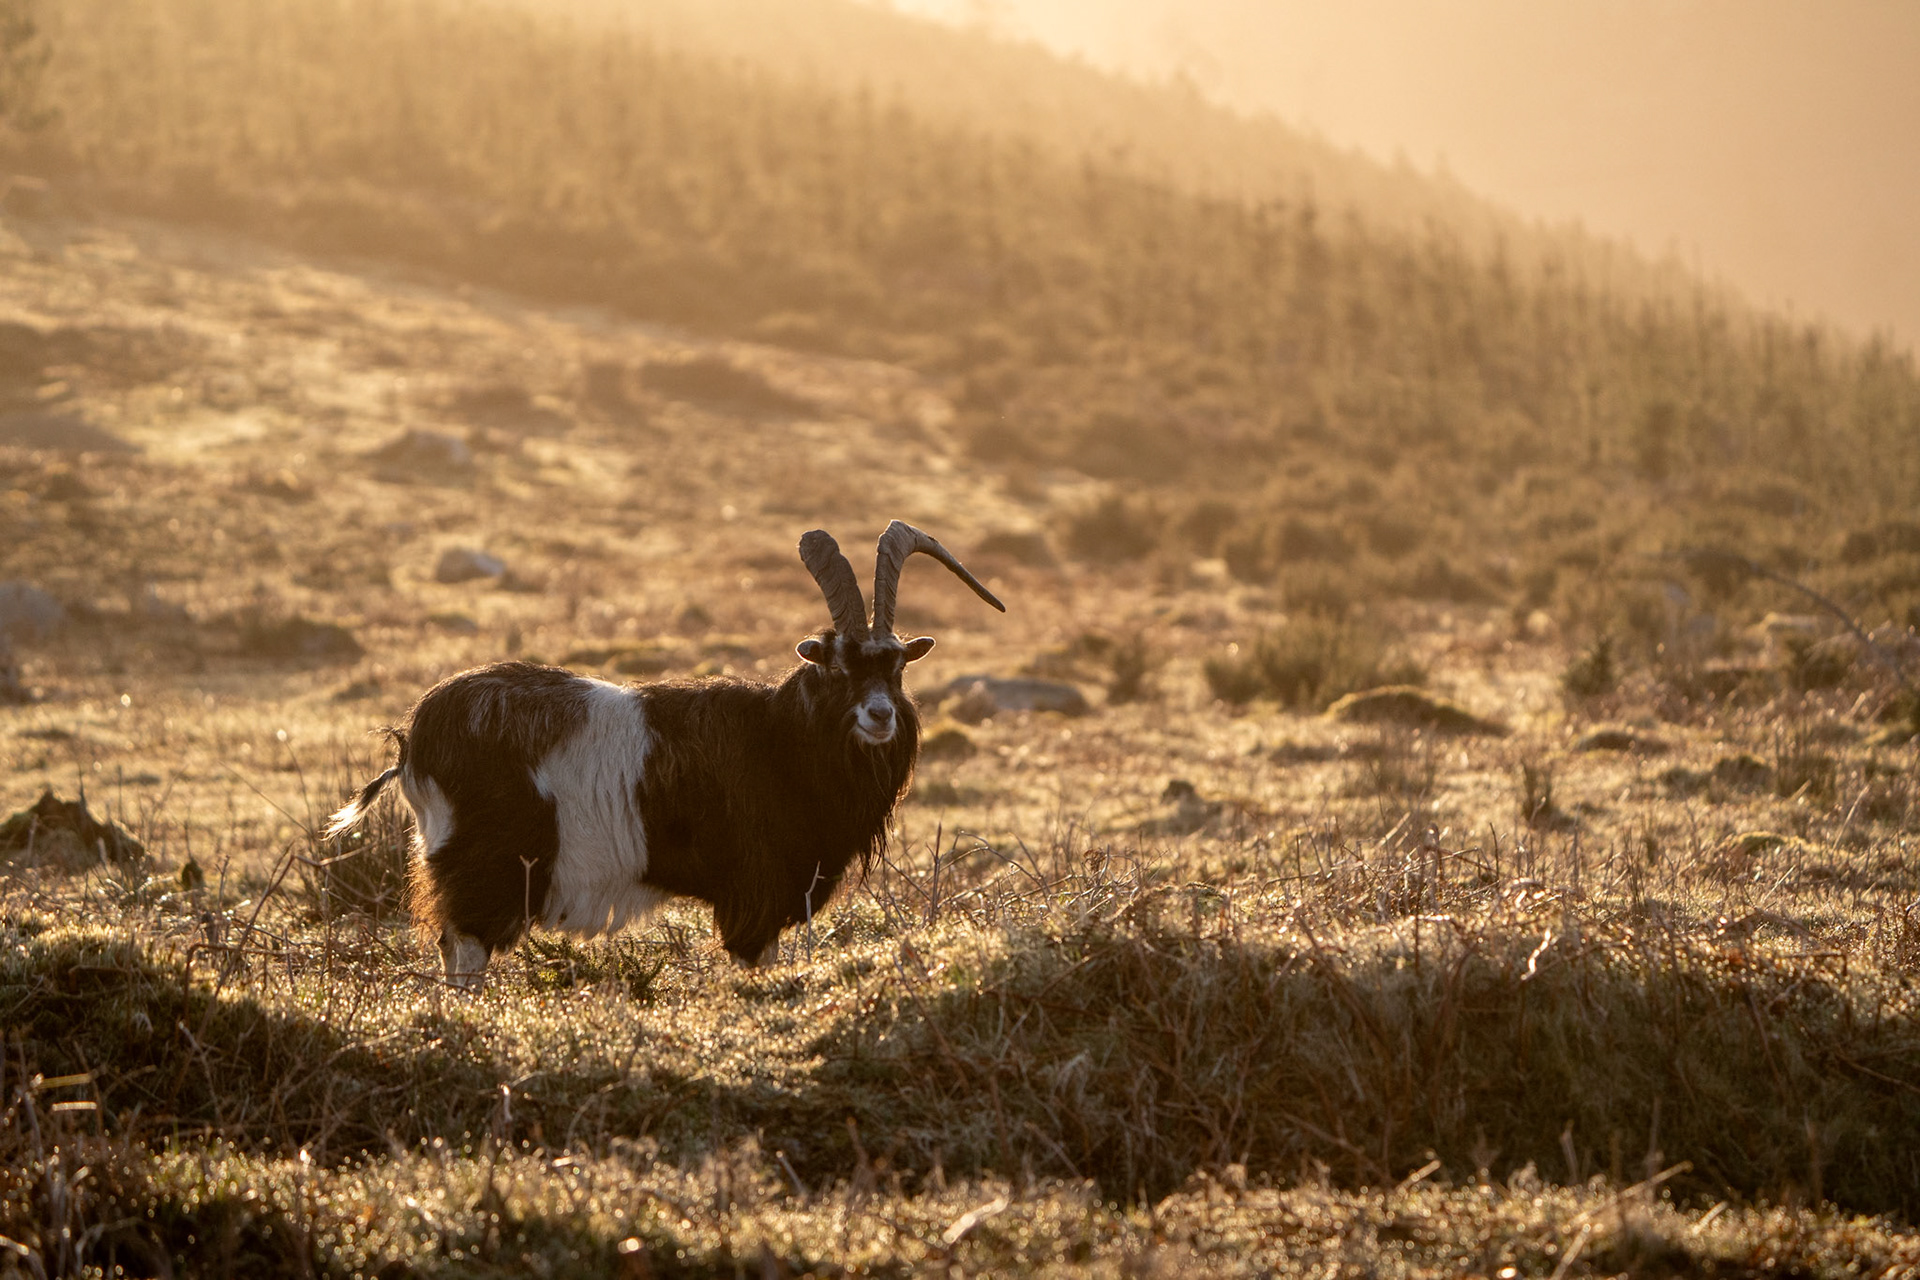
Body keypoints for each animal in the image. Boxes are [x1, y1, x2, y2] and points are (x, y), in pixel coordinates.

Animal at [325, 521, 1004, 988]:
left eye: (896, 667)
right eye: (836, 667)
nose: (879, 715)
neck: (780, 738)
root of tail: (416, 740)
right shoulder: (755, 890)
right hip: (485, 866)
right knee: (466, 950)